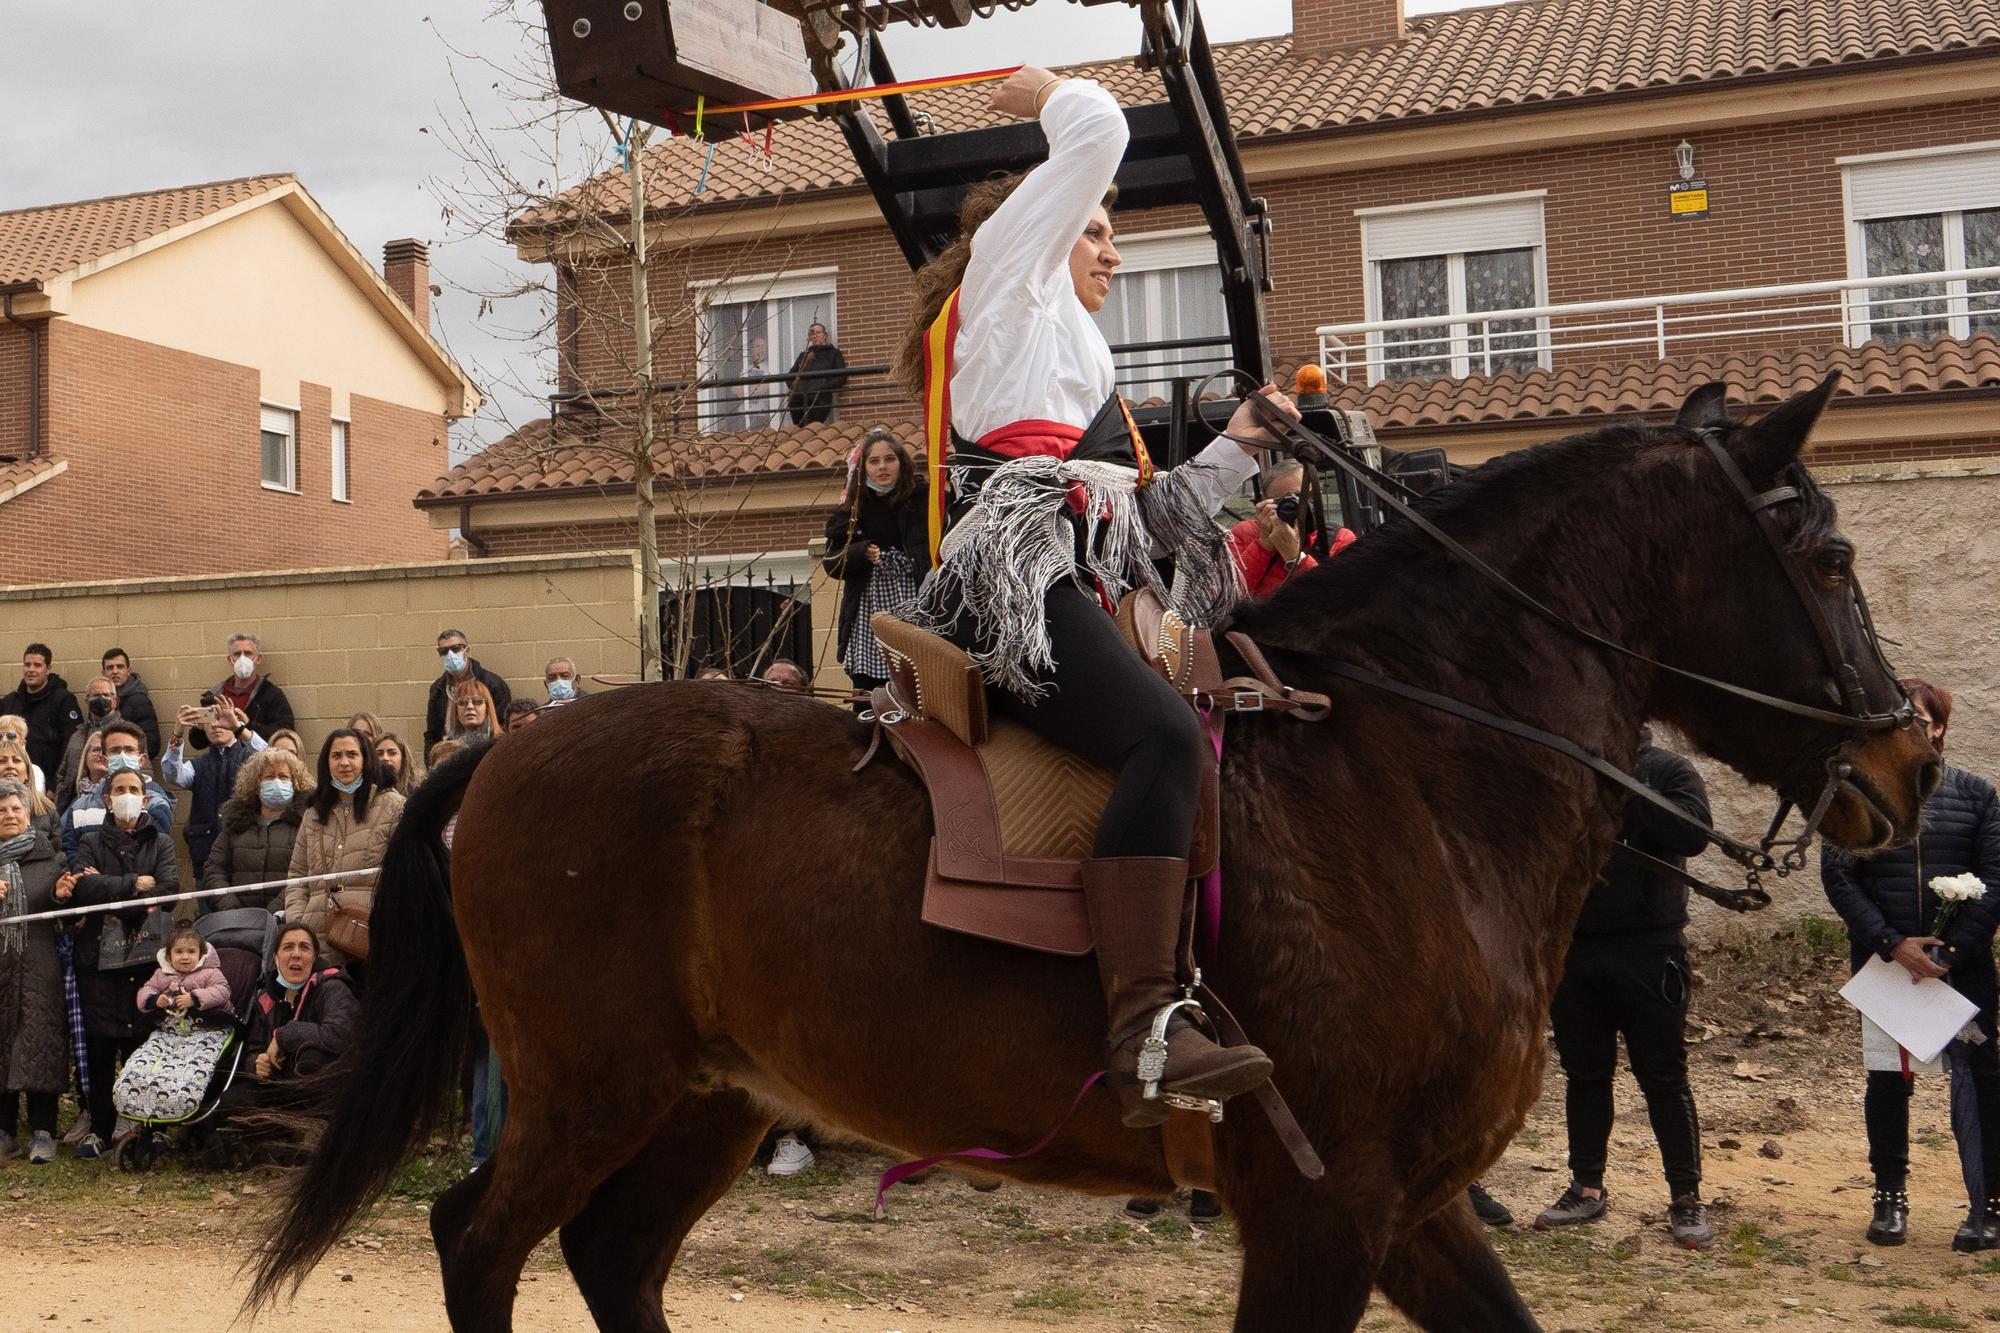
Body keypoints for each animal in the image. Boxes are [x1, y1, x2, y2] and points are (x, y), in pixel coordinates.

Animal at [246, 376, 1936, 1328]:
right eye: (1826, 550)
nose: (1911, 757)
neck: (1415, 775)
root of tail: (504, 747)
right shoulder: (1324, 1211)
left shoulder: (1412, 1209)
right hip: (594, 1087)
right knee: (479, 1240)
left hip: (707, 1099)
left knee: (611, 1259)